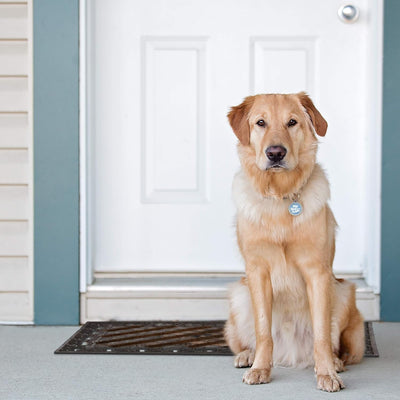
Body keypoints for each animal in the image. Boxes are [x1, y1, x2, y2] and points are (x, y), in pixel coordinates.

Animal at [223, 93, 364, 390]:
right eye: (260, 122)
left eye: (292, 122)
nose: (275, 153)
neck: (280, 196)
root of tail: (292, 353)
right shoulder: (258, 272)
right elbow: (263, 331)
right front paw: (260, 368)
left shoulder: (317, 273)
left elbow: (322, 334)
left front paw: (326, 373)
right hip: (239, 295)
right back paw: (247, 355)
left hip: (344, 292)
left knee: (338, 345)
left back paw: (336, 362)